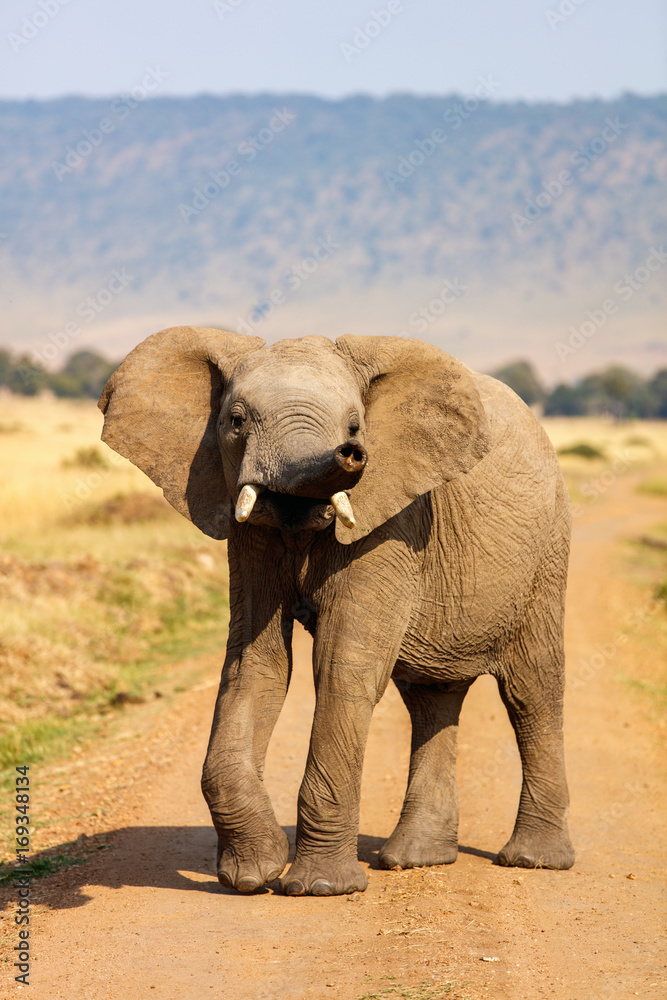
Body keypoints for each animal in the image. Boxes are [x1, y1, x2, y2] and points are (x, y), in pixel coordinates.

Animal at [99, 326, 574, 896]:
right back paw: (414, 859)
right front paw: (253, 873)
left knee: (531, 690)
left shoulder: (392, 521)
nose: (351, 454)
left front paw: (318, 888)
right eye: (236, 421)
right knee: (431, 698)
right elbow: (254, 665)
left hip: (547, 552)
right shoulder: (248, 533)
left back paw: (534, 861)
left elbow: (341, 667)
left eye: (355, 427)